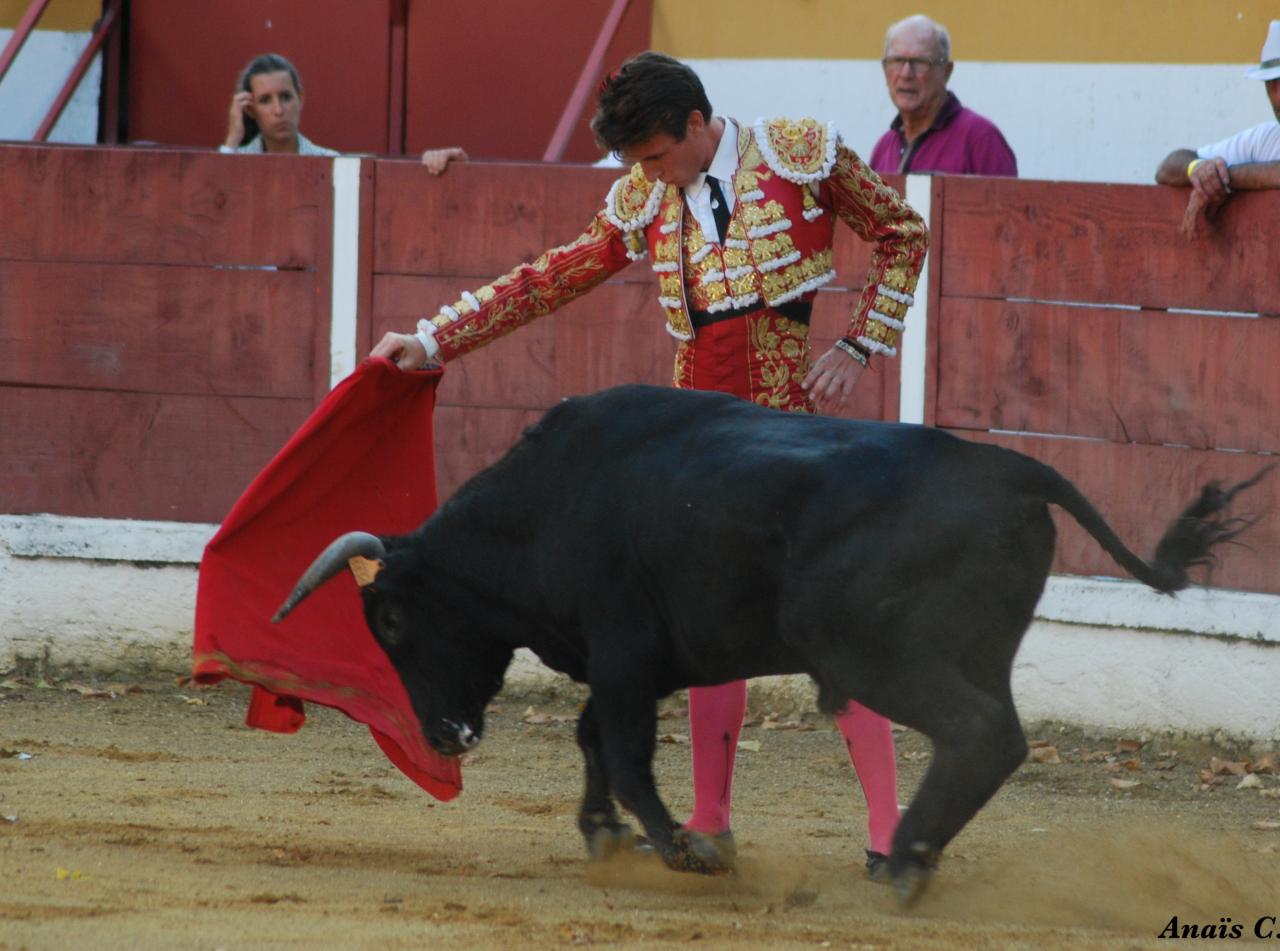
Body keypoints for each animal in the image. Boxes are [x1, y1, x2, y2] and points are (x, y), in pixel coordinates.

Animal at [273, 384, 1265, 903]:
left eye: (389, 621)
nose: (445, 734)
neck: (544, 501)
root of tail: (1013, 466)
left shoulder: (624, 651)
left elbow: (624, 750)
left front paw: (685, 847)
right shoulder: (625, 661)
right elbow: (594, 738)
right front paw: (605, 833)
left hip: (871, 648)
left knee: (979, 731)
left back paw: (902, 862)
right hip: (979, 648)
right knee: (997, 736)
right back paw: (911, 857)